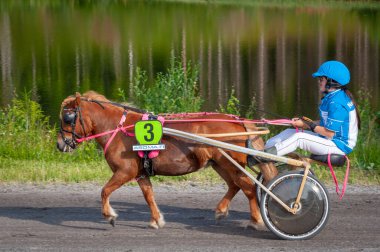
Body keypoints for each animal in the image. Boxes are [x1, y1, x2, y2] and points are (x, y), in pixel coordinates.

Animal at [57, 92, 276, 230]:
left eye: (67, 118)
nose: (60, 144)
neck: (120, 130)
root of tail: (238, 121)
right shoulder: (140, 173)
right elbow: (148, 196)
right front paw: (156, 220)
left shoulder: (125, 171)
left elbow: (104, 191)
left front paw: (109, 215)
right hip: (220, 164)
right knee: (235, 185)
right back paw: (222, 210)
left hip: (229, 163)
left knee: (248, 187)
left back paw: (255, 220)